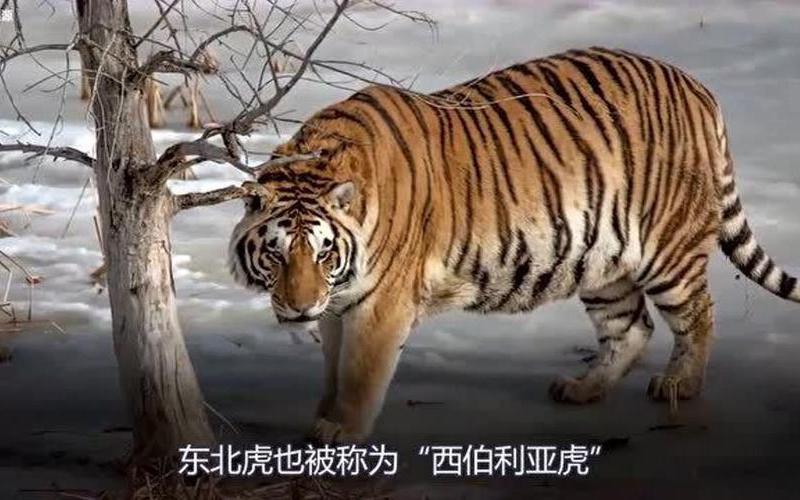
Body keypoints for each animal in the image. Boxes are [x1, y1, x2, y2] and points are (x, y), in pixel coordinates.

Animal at [229, 47, 800, 444]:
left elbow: (358, 373)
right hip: (605, 260)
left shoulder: (380, 305)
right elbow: (332, 370)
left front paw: (341, 430)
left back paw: (680, 384)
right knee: (631, 328)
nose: (299, 306)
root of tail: (698, 86)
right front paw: (321, 417)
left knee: (698, 314)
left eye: (323, 252)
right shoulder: (337, 305)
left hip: (669, 248)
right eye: (277, 254)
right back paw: (582, 389)